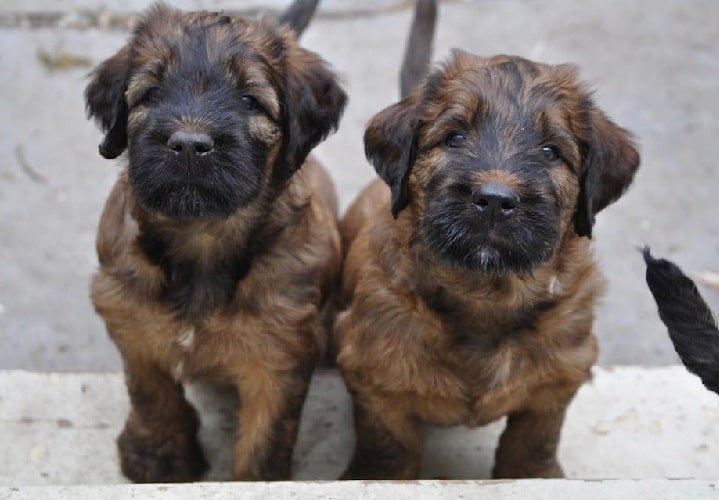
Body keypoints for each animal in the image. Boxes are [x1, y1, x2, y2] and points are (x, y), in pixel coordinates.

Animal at [83, 1, 348, 482]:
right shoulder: (131, 317)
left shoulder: (277, 356)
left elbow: (264, 442)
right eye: (150, 95)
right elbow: (152, 395)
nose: (189, 145)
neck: (202, 239)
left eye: (250, 101)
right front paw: (158, 456)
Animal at [334, 48, 640, 478]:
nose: (495, 200)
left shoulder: (556, 381)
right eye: (454, 137)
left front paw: (535, 475)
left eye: (550, 151)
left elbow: (532, 443)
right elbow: (388, 449)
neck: (485, 294)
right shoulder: (375, 377)